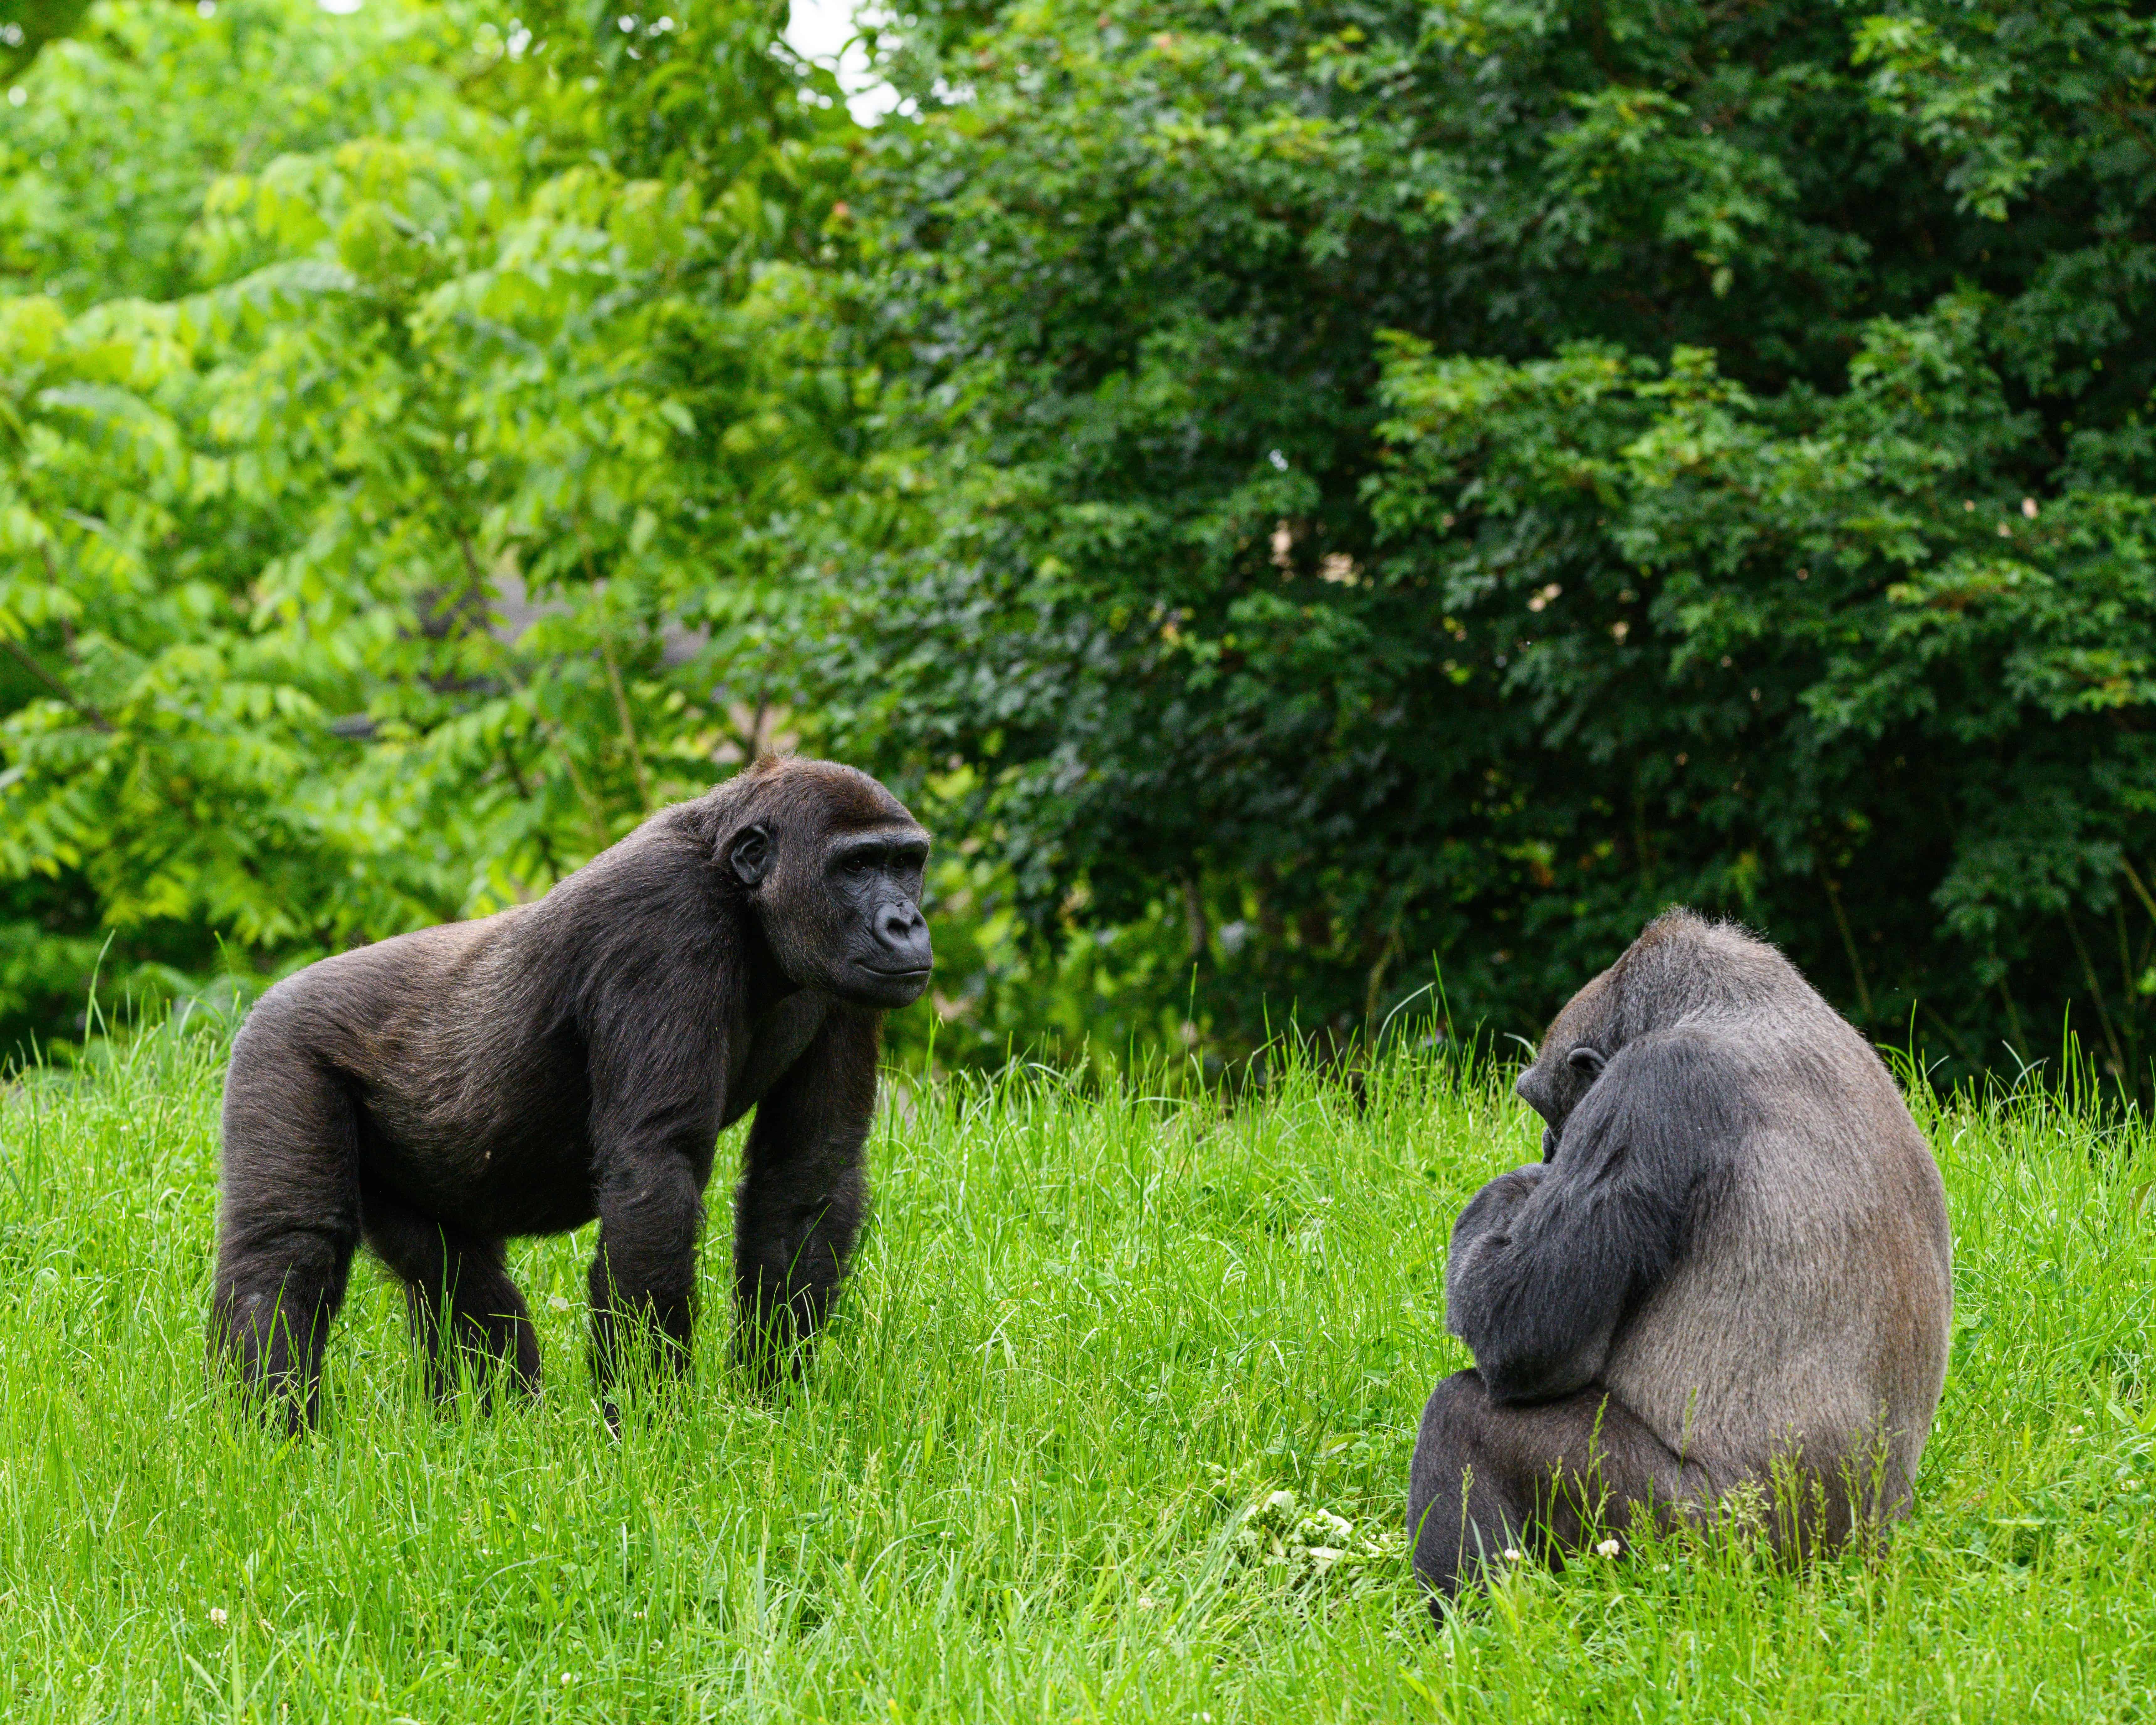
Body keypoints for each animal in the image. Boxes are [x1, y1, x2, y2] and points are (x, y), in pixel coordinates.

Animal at [210, 756, 933, 1431]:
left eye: (906, 863)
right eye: (856, 865)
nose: (906, 923)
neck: (744, 898)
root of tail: (272, 995)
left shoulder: (846, 986)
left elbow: (807, 1175)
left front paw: (770, 1400)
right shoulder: (664, 918)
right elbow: (656, 1170)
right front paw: (650, 1425)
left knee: (454, 1277)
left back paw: (494, 1427)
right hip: (280, 1048)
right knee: (288, 1251)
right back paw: (273, 1436)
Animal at [1407, 909, 1952, 1609]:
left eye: (1548, 1106)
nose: (1551, 1145)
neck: (1742, 1006)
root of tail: (1856, 1554)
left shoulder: (1654, 1082)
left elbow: (1524, 1335)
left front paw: (1512, 1191)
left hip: (1706, 1544)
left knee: (1462, 1415)